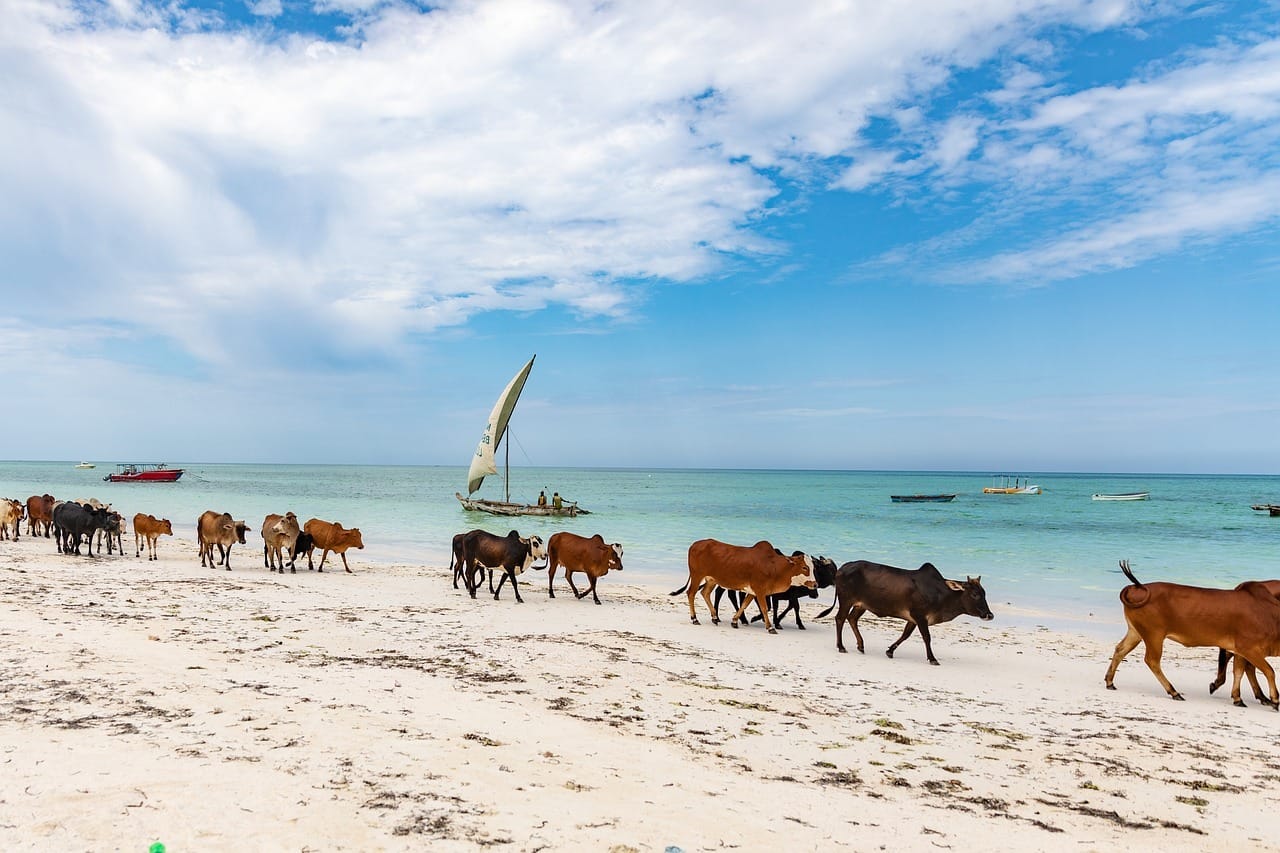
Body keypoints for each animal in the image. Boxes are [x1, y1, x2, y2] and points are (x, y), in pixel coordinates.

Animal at [675, 537, 814, 630]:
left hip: (711, 579)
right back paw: (695, 618)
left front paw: (734, 622)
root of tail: (694, 544)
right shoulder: (760, 590)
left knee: (705, 593)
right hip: (697, 575)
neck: (773, 566)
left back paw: (714, 618)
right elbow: (764, 608)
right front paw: (770, 627)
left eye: (813, 567)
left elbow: (744, 605)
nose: (815, 584)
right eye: (804, 567)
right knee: (691, 593)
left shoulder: (753, 591)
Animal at [819, 558, 988, 666]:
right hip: (846, 601)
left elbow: (905, 635)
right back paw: (841, 646)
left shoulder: (913, 619)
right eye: (975, 594)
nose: (989, 615)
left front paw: (890, 651)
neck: (941, 593)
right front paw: (932, 658)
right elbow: (927, 637)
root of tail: (842, 568)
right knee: (840, 618)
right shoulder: (920, 616)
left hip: (861, 605)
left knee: (852, 619)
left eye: (984, 593)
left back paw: (861, 646)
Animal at [1100, 560, 1280, 706]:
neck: (1269, 614)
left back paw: (1110, 682)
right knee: (1152, 661)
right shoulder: (1247, 649)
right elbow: (1268, 671)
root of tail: (1137, 587)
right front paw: (1274, 699)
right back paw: (1174, 692)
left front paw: (1238, 698)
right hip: (1154, 635)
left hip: (1136, 632)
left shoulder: (1242, 651)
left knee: (1120, 650)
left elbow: (1240, 671)